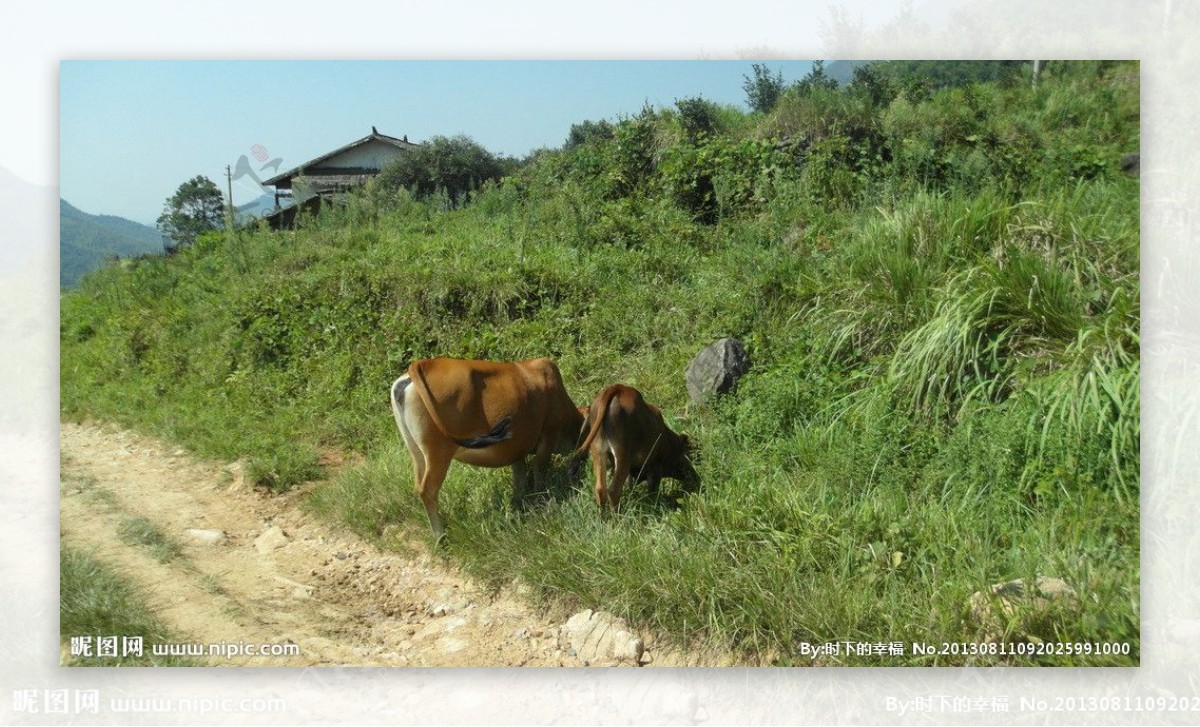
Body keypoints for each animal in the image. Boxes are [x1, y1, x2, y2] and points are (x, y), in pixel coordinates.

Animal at [391, 359, 583, 542]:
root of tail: (421, 364)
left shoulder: (517, 449)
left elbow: (519, 477)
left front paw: (519, 505)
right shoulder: (549, 434)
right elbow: (539, 471)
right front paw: (539, 502)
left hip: (416, 450)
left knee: (418, 484)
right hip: (438, 452)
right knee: (428, 490)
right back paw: (440, 536)